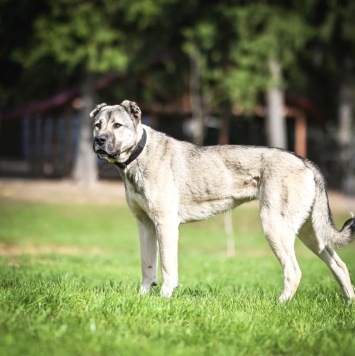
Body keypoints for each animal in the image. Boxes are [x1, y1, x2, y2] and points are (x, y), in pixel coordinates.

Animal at [92, 101, 355, 302]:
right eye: (97, 125)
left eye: (117, 125)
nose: (99, 140)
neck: (139, 154)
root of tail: (304, 161)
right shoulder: (145, 224)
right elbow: (147, 266)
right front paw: (143, 297)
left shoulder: (165, 224)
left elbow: (167, 266)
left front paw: (164, 298)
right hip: (310, 233)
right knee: (339, 265)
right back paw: (348, 303)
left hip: (275, 227)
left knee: (294, 270)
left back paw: (280, 303)